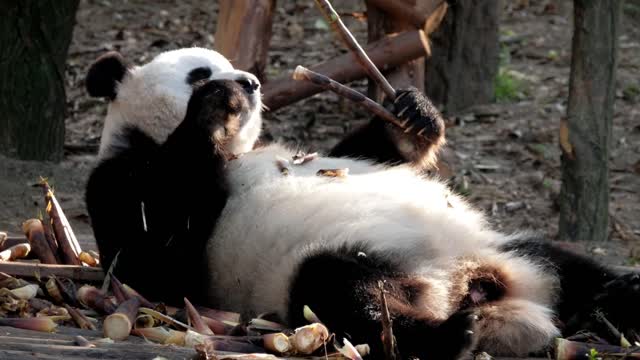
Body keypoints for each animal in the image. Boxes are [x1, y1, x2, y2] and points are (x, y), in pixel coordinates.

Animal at [86, 47, 640, 358]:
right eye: (199, 72)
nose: (249, 82)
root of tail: (466, 282)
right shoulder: (127, 176)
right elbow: (153, 263)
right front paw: (216, 109)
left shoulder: (314, 151)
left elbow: (366, 149)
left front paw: (413, 114)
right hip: (336, 262)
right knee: (345, 295)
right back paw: (450, 335)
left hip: (500, 246)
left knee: (567, 264)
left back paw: (624, 295)